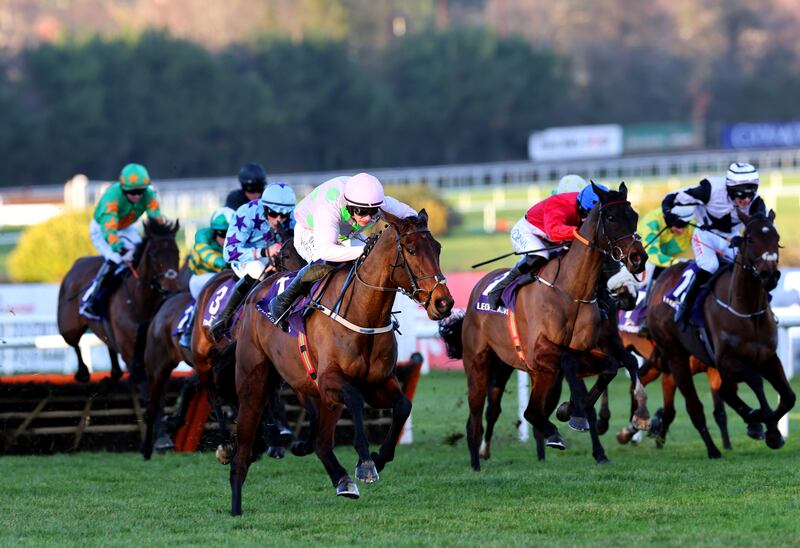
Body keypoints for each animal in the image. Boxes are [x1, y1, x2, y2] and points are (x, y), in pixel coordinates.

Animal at [56, 218, 180, 382]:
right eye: (154, 254)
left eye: (177, 253)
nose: (171, 288)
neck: (139, 301)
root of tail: (76, 264)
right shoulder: (129, 350)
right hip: (68, 327)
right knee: (74, 343)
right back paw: (83, 373)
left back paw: (114, 372)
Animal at [231, 209, 454, 512]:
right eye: (411, 249)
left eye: (438, 248)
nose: (444, 303)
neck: (364, 313)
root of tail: (257, 291)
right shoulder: (330, 380)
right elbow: (355, 400)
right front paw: (366, 463)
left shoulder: (377, 383)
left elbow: (402, 406)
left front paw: (379, 457)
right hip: (254, 382)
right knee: (243, 446)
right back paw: (236, 504)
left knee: (322, 443)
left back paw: (341, 479)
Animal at [454, 186, 648, 468]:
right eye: (611, 218)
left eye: (633, 216)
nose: (638, 259)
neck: (571, 292)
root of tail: (480, 284)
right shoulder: (540, 351)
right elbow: (569, 362)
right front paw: (577, 414)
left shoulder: (588, 350)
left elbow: (613, 366)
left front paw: (574, 412)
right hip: (481, 365)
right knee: (477, 418)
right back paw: (477, 461)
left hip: (540, 374)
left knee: (532, 411)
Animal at [648, 210, 792, 458]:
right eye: (750, 239)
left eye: (776, 237)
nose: (770, 275)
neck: (748, 311)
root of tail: (661, 280)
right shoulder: (727, 360)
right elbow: (755, 381)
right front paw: (771, 429)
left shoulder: (767, 357)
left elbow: (789, 397)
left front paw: (767, 424)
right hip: (675, 355)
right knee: (694, 407)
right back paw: (713, 449)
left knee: (724, 392)